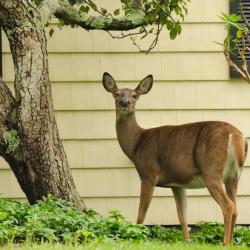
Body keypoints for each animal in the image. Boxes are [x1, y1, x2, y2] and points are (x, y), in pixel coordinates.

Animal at [102, 71, 248, 245]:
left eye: (135, 95)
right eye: (116, 94)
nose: (125, 103)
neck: (137, 143)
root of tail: (235, 136)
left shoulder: (148, 174)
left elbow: (141, 214)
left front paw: (135, 237)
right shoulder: (177, 183)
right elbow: (183, 217)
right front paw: (187, 242)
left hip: (212, 171)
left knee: (228, 206)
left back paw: (225, 243)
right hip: (234, 175)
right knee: (236, 207)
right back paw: (231, 242)